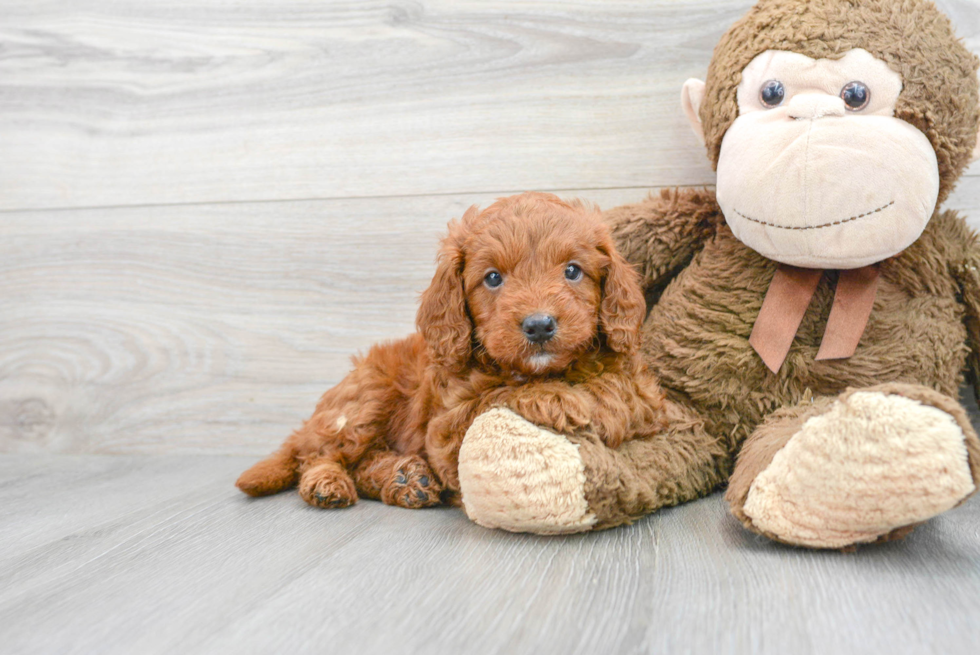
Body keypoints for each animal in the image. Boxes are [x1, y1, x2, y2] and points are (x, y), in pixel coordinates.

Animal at [236, 192, 668, 510]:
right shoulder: (447, 429)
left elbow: (622, 391)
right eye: (492, 278)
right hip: (366, 398)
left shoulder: (644, 392)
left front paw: (586, 400)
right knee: (321, 454)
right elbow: (498, 394)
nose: (539, 325)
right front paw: (553, 397)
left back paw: (405, 478)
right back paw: (329, 483)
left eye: (573, 271)